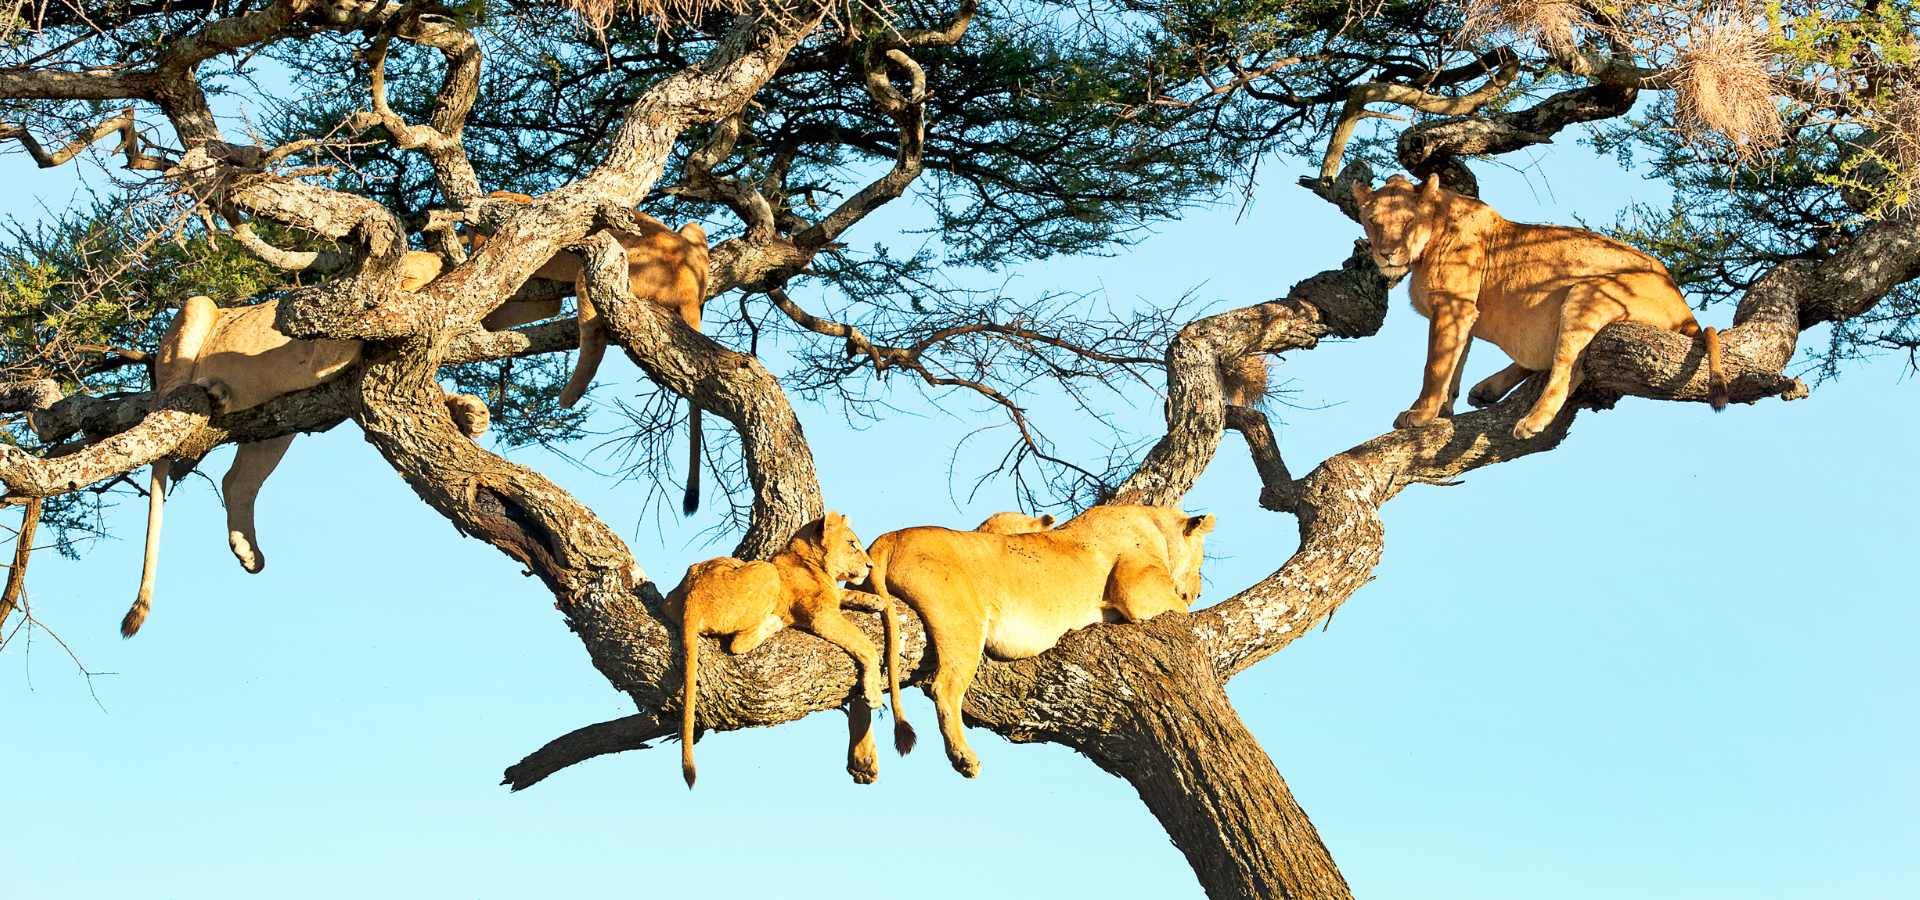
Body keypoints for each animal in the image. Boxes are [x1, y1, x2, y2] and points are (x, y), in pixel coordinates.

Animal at [663, 512, 881, 787]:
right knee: (738, 643)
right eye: (852, 544)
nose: (870, 566)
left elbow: (844, 593)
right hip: (766, 571)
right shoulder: (820, 615)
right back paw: (774, 622)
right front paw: (874, 694)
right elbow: (866, 645)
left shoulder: (832, 599)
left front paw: (875, 600)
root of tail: (690, 599)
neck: (810, 560)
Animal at [852, 504, 1215, 778]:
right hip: (963, 619)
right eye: (1202, 560)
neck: (1155, 525)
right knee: (945, 686)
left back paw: (861, 761)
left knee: (861, 686)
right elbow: (1180, 609)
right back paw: (963, 757)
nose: (1199, 592)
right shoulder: (1136, 586)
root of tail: (889, 537)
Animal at [1352, 173, 1729, 439]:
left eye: (1407, 222)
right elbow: (1453, 366)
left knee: (1567, 371)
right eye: (1373, 222)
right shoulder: (1463, 313)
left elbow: (1435, 367)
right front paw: (1443, 410)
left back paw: (1531, 420)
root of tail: (1683, 305)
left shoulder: (1453, 306)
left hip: (1587, 293)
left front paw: (1421, 415)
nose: (1386, 253)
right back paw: (1488, 390)